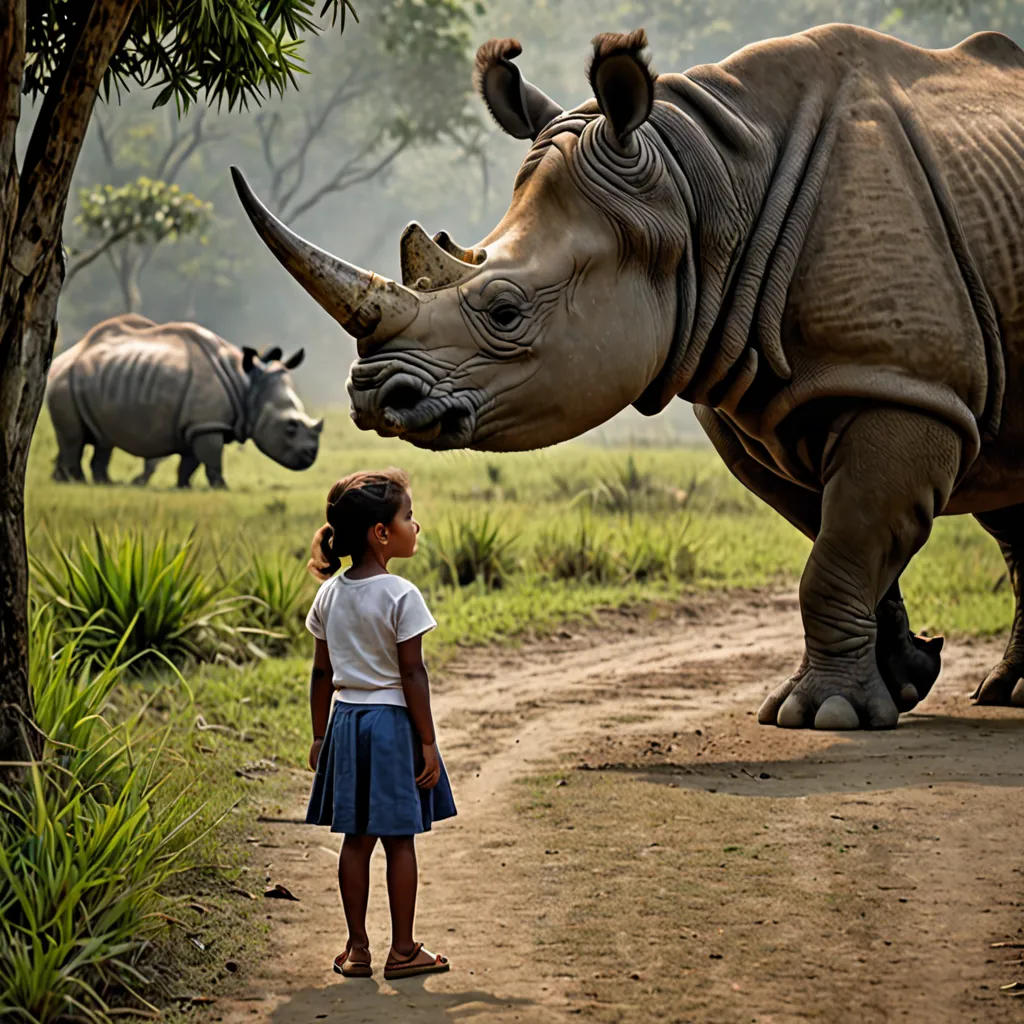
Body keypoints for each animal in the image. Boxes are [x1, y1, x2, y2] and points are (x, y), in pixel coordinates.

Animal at [46, 314, 322, 488]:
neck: (248, 385)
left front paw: (184, 486)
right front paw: (222, 487)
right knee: (73, 438)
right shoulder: (206, 424)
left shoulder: (197, 425)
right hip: (63, 381)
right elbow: (212, 460)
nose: (311, 456)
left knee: (102, 441)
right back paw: (79, 482)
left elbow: (191, 463)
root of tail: (63, 356)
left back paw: (102, 483)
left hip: (96, 378)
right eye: (290, 427)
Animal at [232, 24, 1024, 731]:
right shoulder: (761, 409)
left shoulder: (902, 382)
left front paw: (823, 714)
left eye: (505, 310)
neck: (700, 188)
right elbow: (846, 545)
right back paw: (1004, 693)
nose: (371, 394)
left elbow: (842, 551)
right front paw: (905, 677)